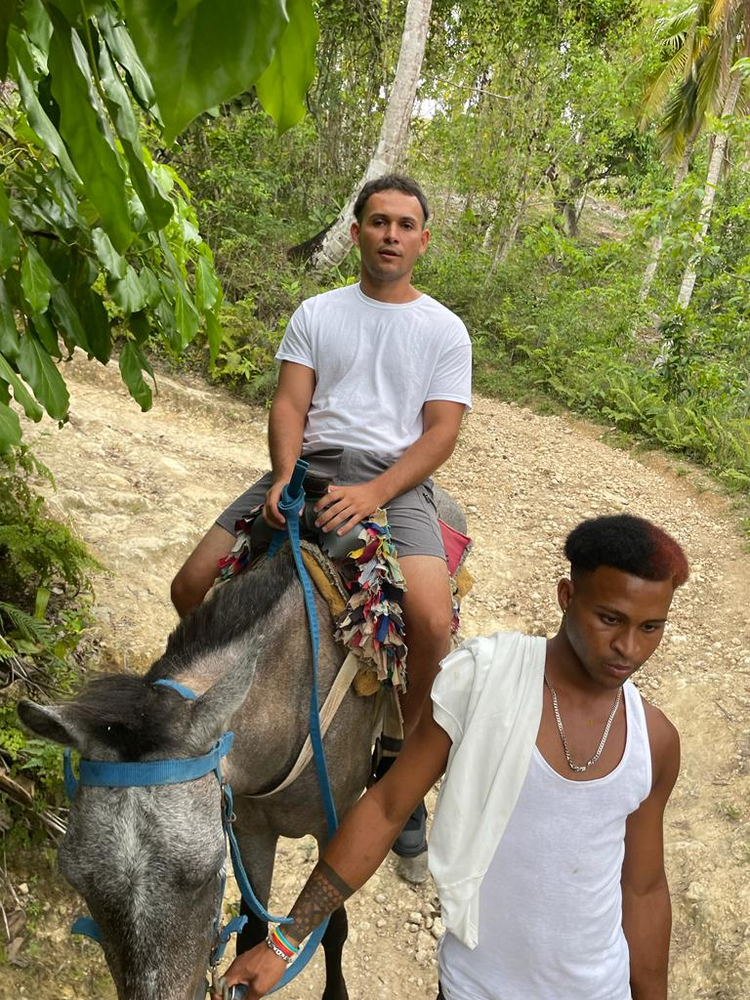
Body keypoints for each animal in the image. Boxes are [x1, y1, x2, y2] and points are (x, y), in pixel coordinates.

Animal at [20, 490, 468, 1000]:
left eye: (206, 871)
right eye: (77, 880)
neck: (293, 702)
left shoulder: (336, 824)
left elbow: (332, 925)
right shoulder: (252, 827)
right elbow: (252, 929)